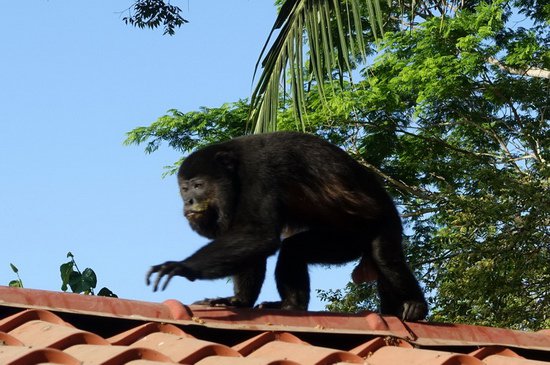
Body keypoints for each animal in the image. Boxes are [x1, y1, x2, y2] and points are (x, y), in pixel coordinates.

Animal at [148, 132, 432, 320]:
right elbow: (252, 242)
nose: (189, 201)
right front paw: (238, 300)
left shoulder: (258, 174)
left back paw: (416, 305)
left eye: (198, 185)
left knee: (385, 257)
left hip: (381, 223)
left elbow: (260, 234)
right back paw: (291, 305)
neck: (233, 168)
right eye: (184, 189)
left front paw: (182, 267)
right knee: (295, 250)